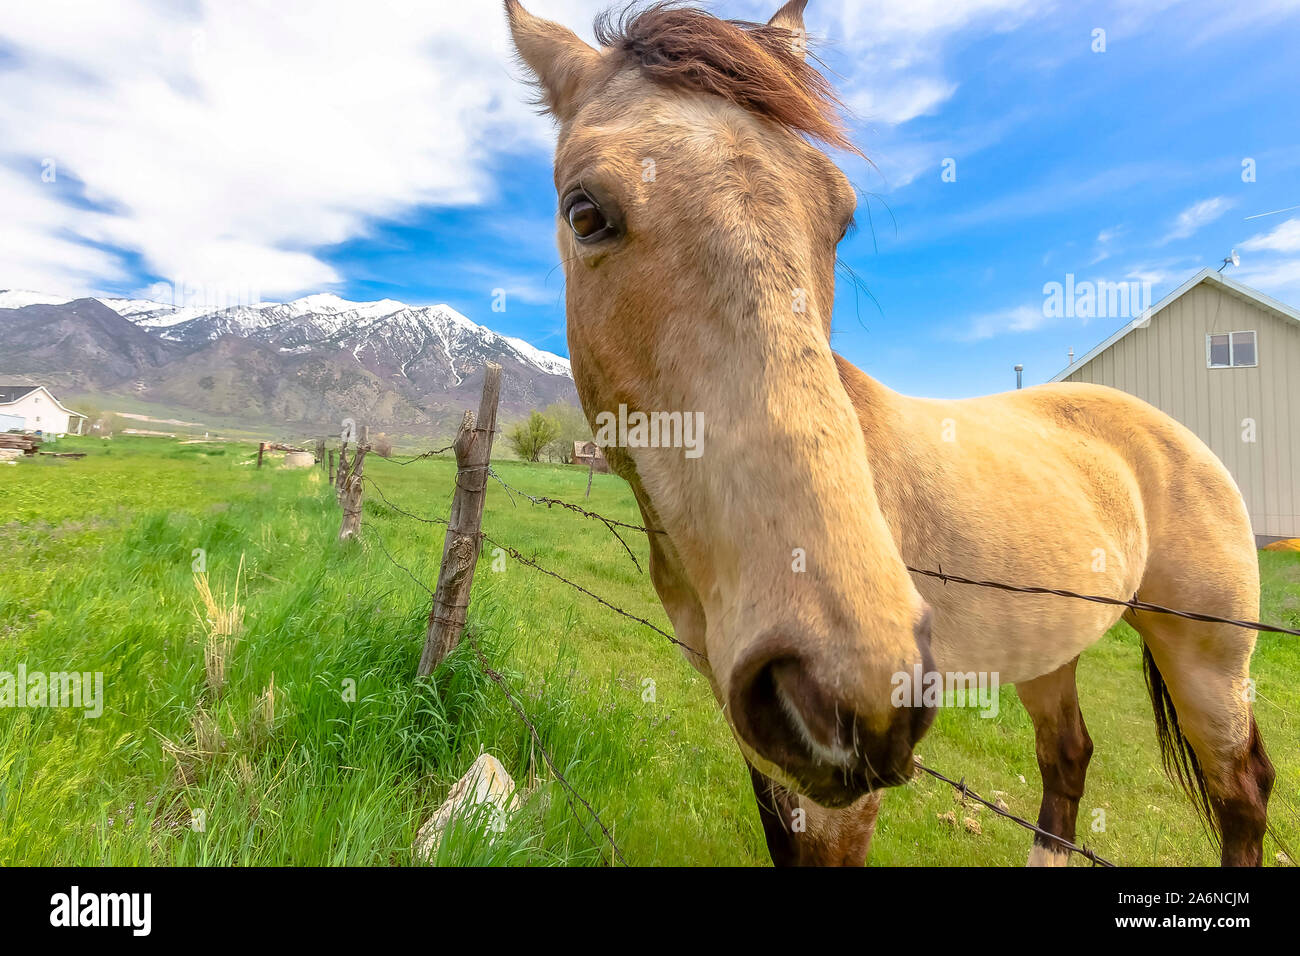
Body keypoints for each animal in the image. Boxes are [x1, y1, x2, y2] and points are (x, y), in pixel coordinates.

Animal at [504, 0, 1274, 866]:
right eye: (585, 213)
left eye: (839, 218)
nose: (859, 689)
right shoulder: (764, 742)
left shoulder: (841, 800)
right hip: (1051, 651)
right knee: (1068, 757)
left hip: (1208, 666)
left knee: (1242, 792)